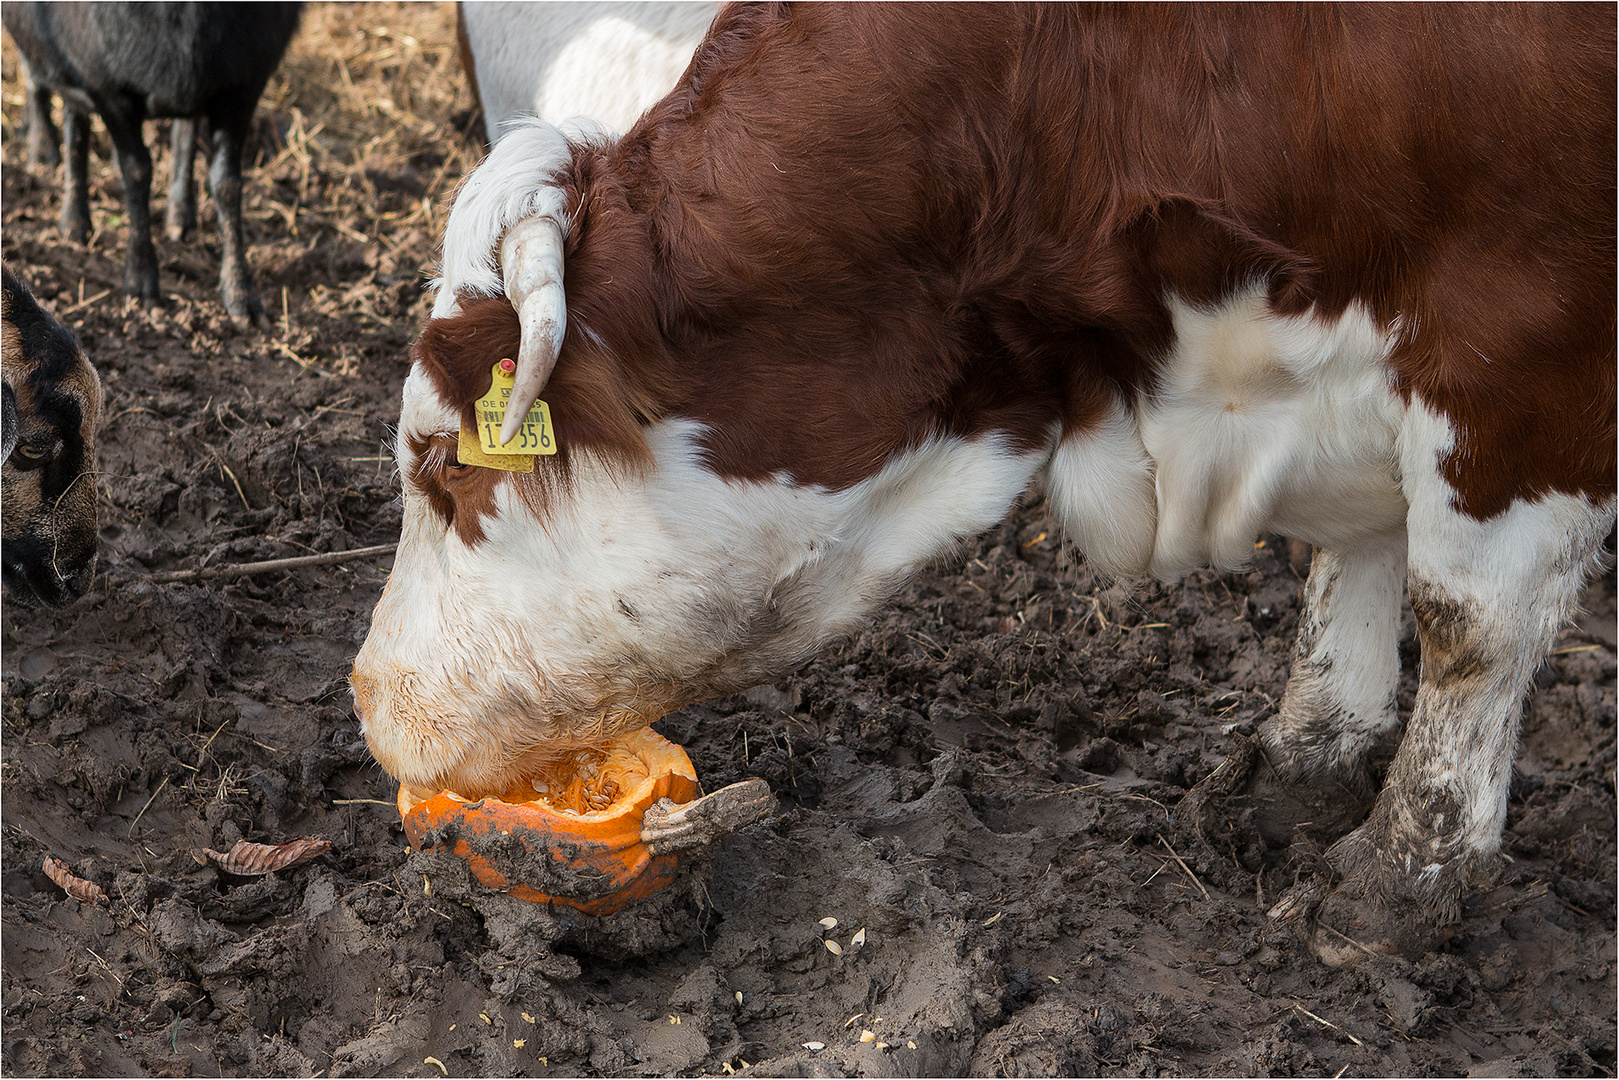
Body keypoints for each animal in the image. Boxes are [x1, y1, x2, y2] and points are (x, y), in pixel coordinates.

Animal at [0, 2, 304, 327]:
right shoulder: (106, 88)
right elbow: (137, 172)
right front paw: (140, 276)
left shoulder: (243, 84)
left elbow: (227, 183)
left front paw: (241, 293)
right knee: (52, 94)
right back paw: (59, 185)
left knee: (184, 126)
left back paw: (178, 214)